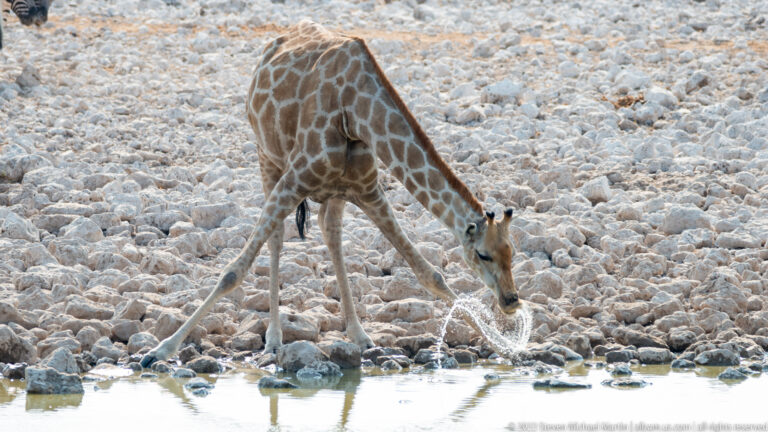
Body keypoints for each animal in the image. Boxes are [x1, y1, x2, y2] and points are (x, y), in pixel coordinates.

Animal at [140, 20, 520, 367]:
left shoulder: (369, 191)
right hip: (268, 159)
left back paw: (359, 335)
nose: (511, 300)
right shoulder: (293, 180)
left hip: (333, 192)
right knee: (277, 238)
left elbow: (430, 274)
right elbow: (234, 271)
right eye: (483, 255)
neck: (355, 113)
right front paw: (160, 350)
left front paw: (504, 346)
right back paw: (274, 339)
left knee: (330, 234)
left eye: (511, 252)